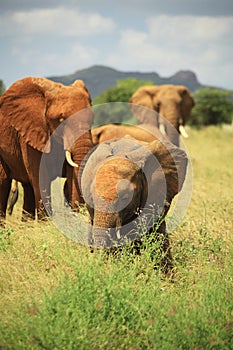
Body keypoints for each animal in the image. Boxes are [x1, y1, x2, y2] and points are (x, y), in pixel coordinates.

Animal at [0, 76, 94, 224]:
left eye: (92, 118)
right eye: (61, 119)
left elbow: (71, 174)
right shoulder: (31, 134)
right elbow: (41, 178)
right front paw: (46, 224)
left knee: (28, 187)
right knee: (3, 183)